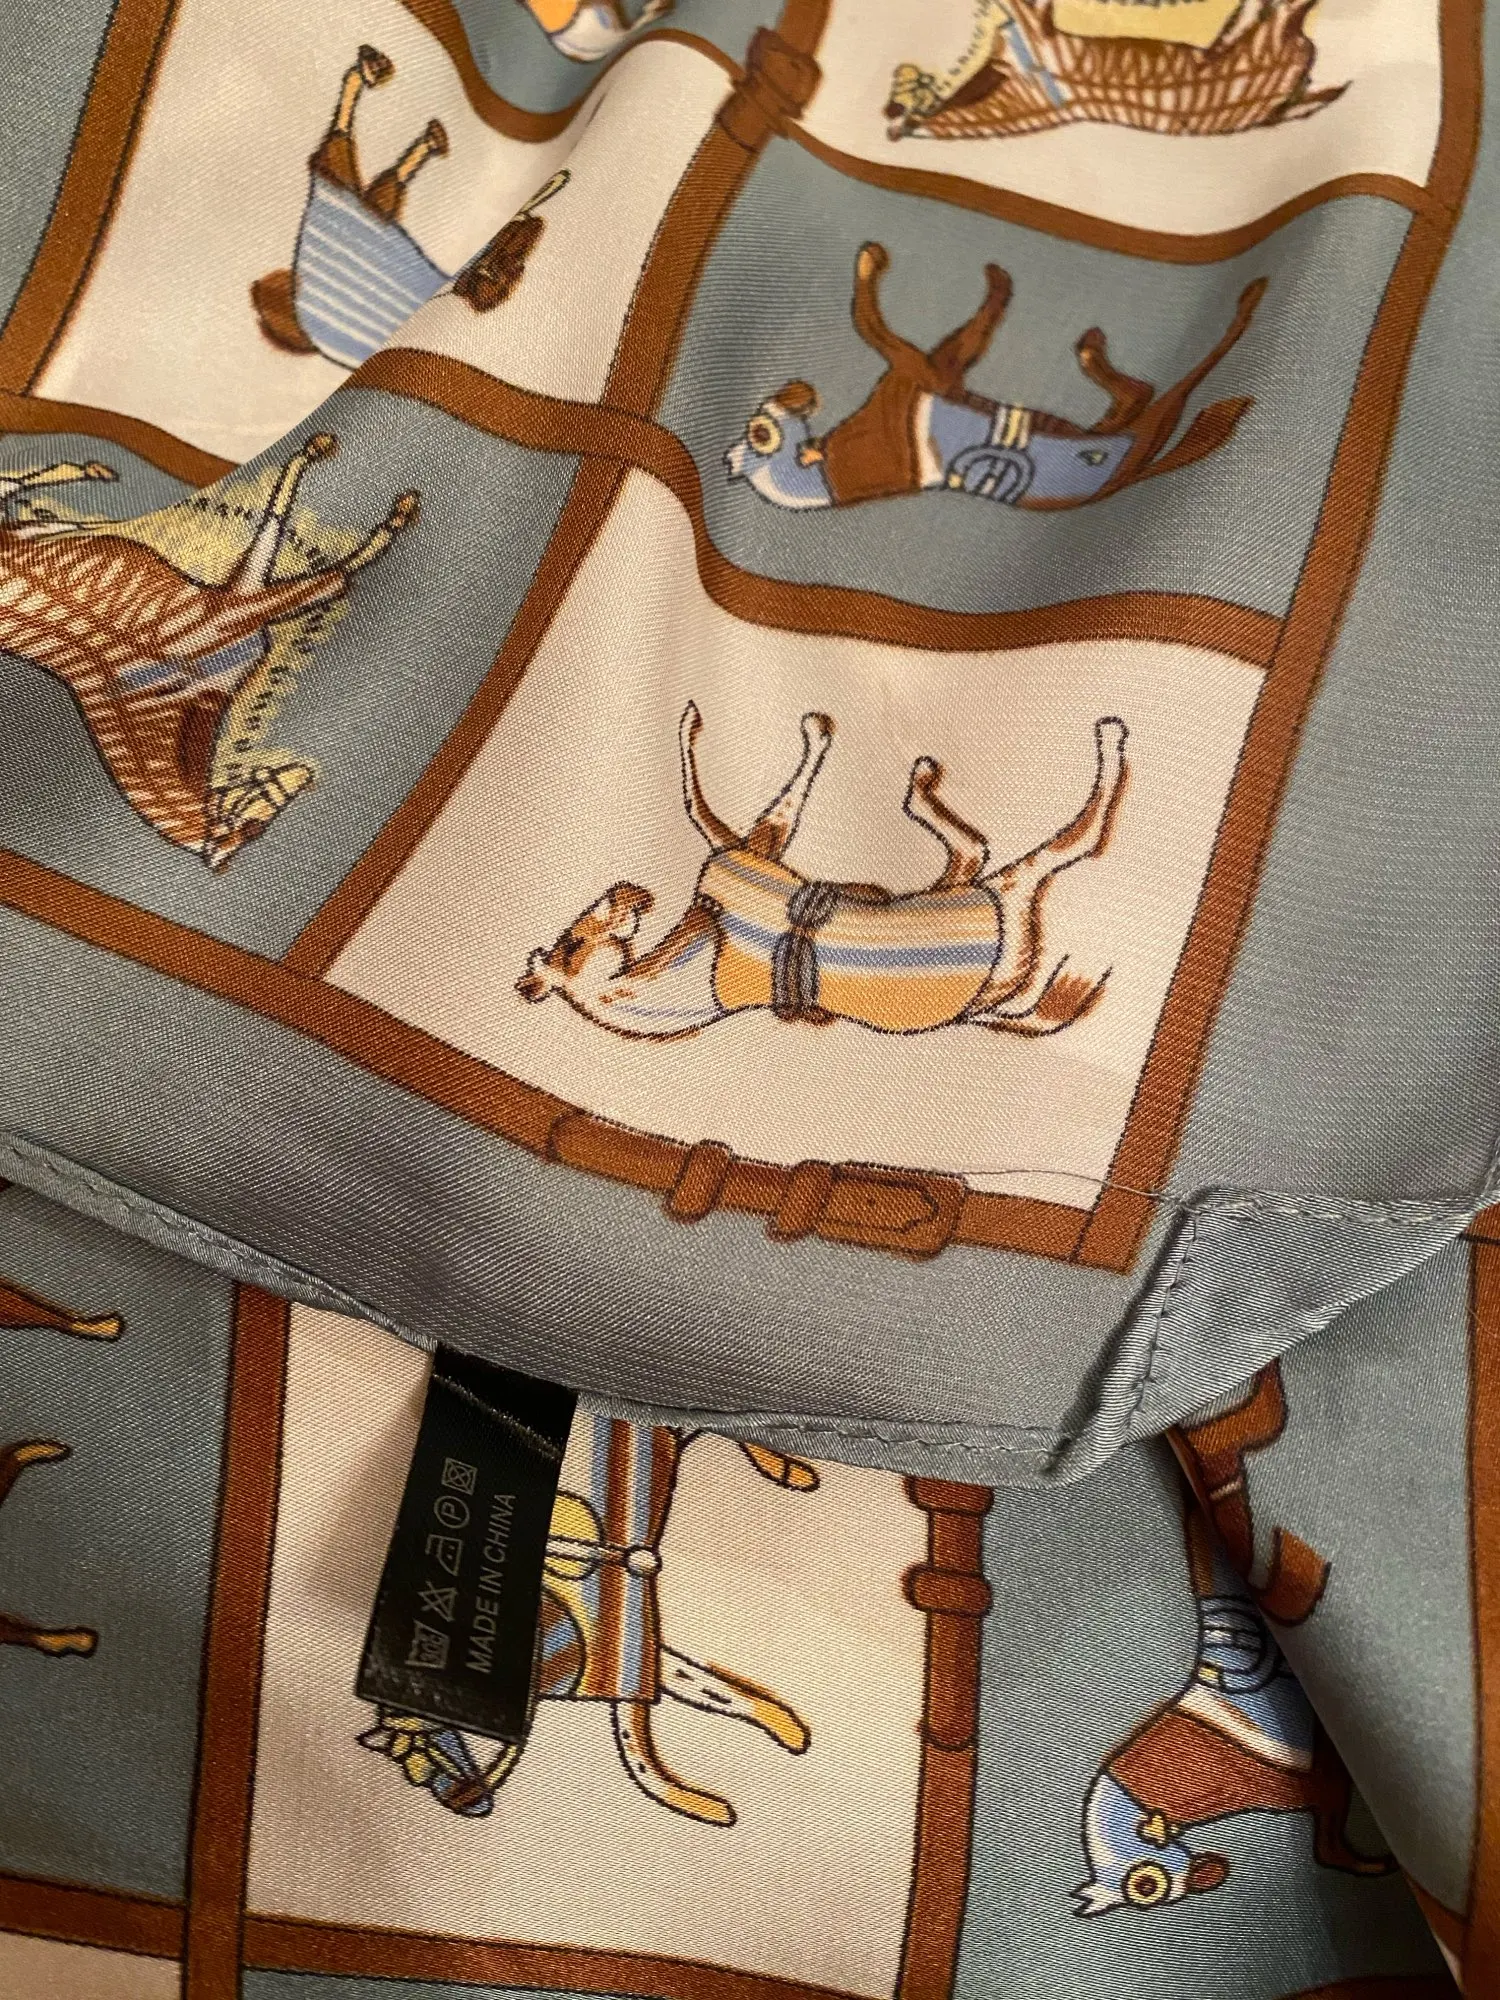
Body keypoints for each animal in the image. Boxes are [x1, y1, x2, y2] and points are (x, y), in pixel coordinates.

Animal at [360, 1421, 815, 1824]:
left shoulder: (629, 1663)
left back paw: (791, 1468)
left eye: (419, 1757)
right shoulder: (639, 1668)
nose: (458, 1799)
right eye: (416, 1768)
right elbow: (708, 1701)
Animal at [517, 702, 1129, 1041]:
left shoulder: (742, 858)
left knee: (973, 847)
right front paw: (809, 732)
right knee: (1068, 840)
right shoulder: (742, 859)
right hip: (1005, 892)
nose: (631, 894)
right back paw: (1110, 740)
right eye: (573, 943)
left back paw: (921, 784)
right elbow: (709, 809)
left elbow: (705, 809)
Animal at [725, 244, 1265, 513]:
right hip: (1144, 425)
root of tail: (1128, 476)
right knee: (1165, 388)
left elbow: (892, 325)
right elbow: (869, 321)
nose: (800, 392)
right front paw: (873, 261)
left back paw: (1093, 353)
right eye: (760, 432)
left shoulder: (934, 372)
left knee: (1139, 392)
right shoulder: (922, 372)